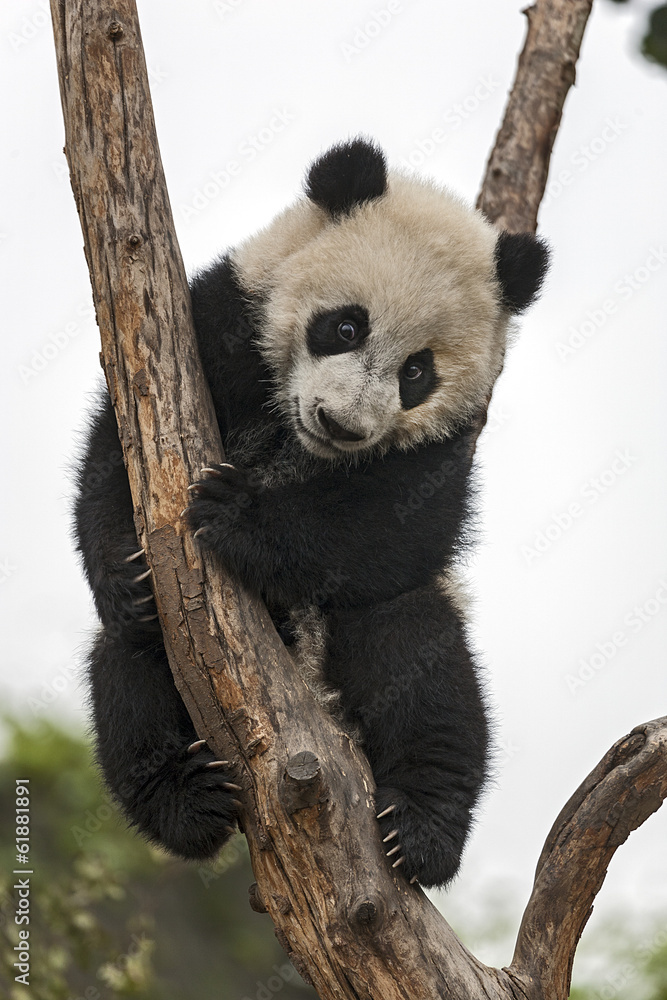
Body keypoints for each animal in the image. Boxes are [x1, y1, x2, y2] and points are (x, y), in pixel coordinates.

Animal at [74, 138, 548, 888]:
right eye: (344, 326)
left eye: (417, 372)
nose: (342, 425)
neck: (298, 446)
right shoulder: (217, 325)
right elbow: (119, 453)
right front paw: (123, 573)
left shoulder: (444, 447)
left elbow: (391, 528)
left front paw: (236, 514)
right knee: (128, 676)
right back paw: (188, 803)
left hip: (389, 644)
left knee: (423, 667)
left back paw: (420, 829)